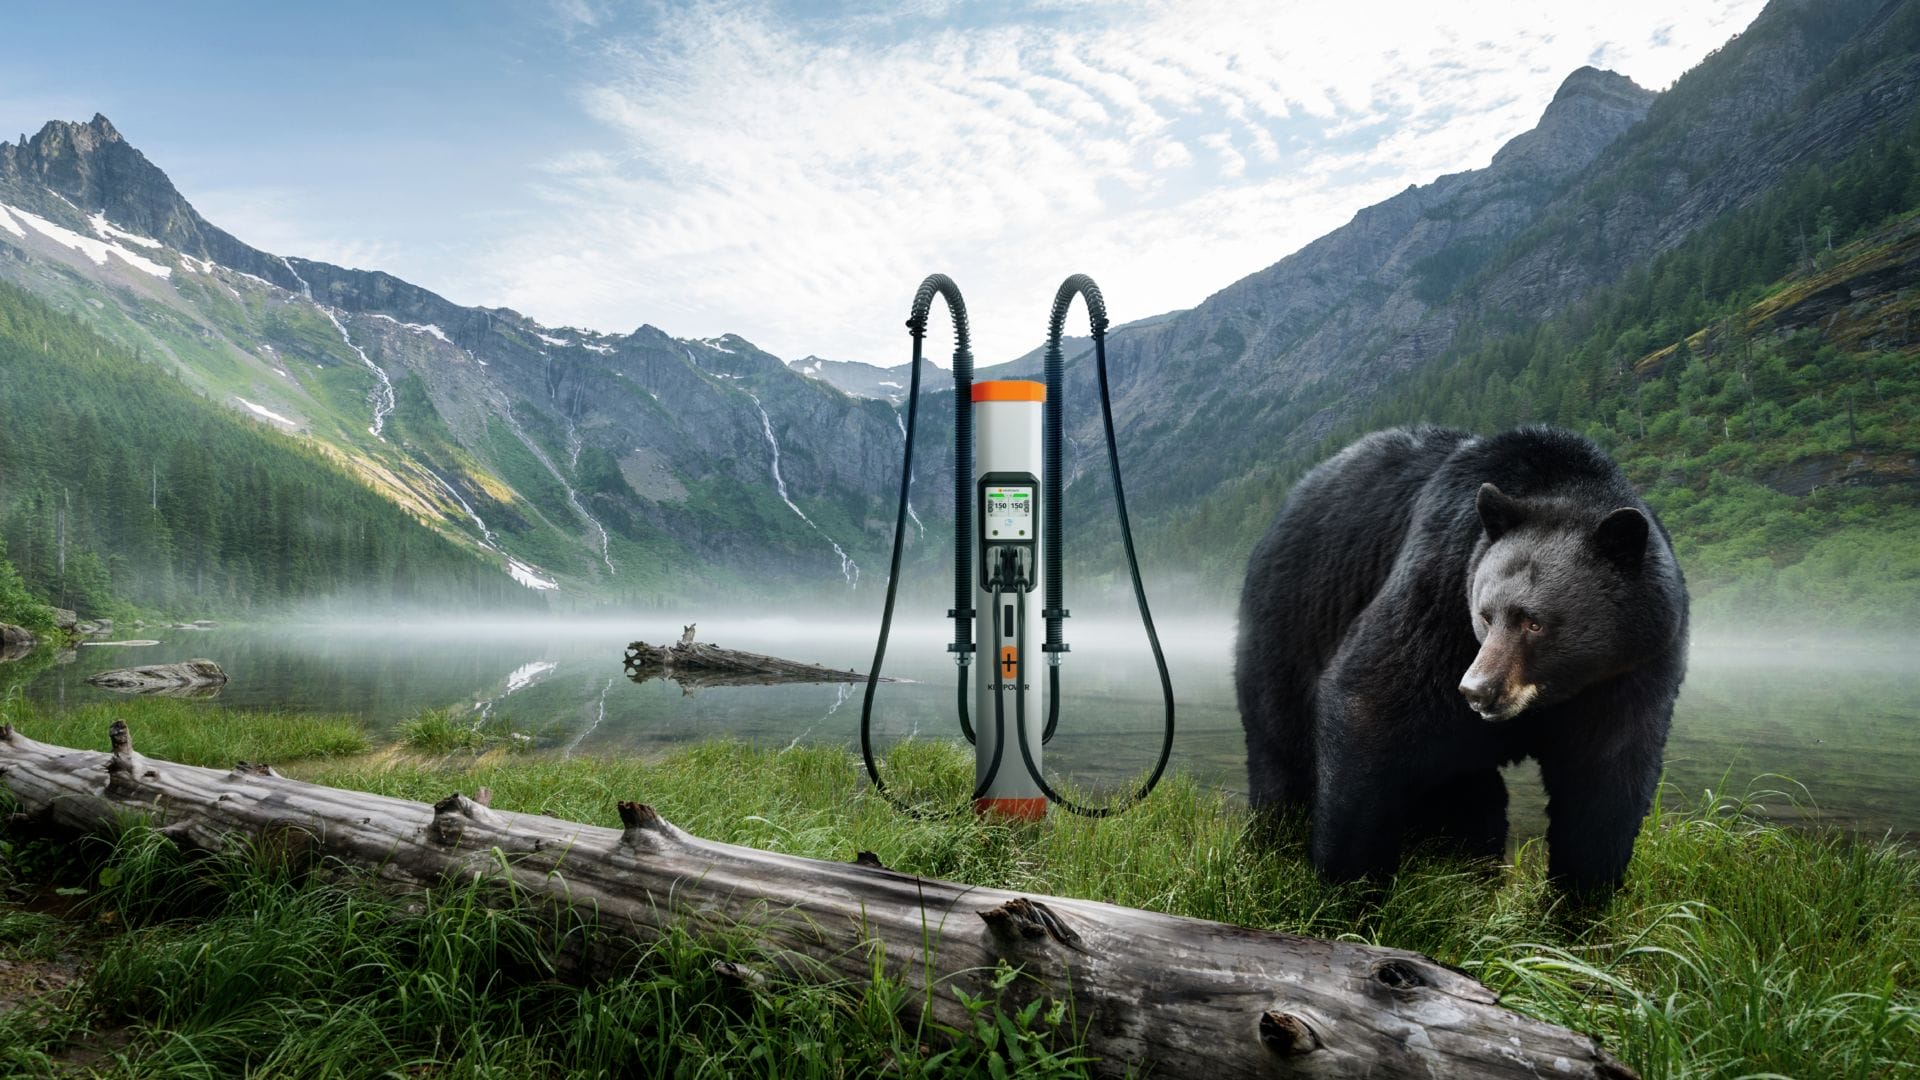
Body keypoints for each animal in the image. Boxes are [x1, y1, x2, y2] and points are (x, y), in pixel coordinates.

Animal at [1235, 425, 1688, 893]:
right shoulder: (1440, 589)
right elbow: (1369, 698)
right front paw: (1348, 884)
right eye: (1485, 615)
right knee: (1280, 745)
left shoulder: (1630, 668)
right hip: (1293, 620)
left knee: (1472, 794)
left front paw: (1581, 897)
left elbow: (1606, 781)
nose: (1477, 689)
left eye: (1534, 622)